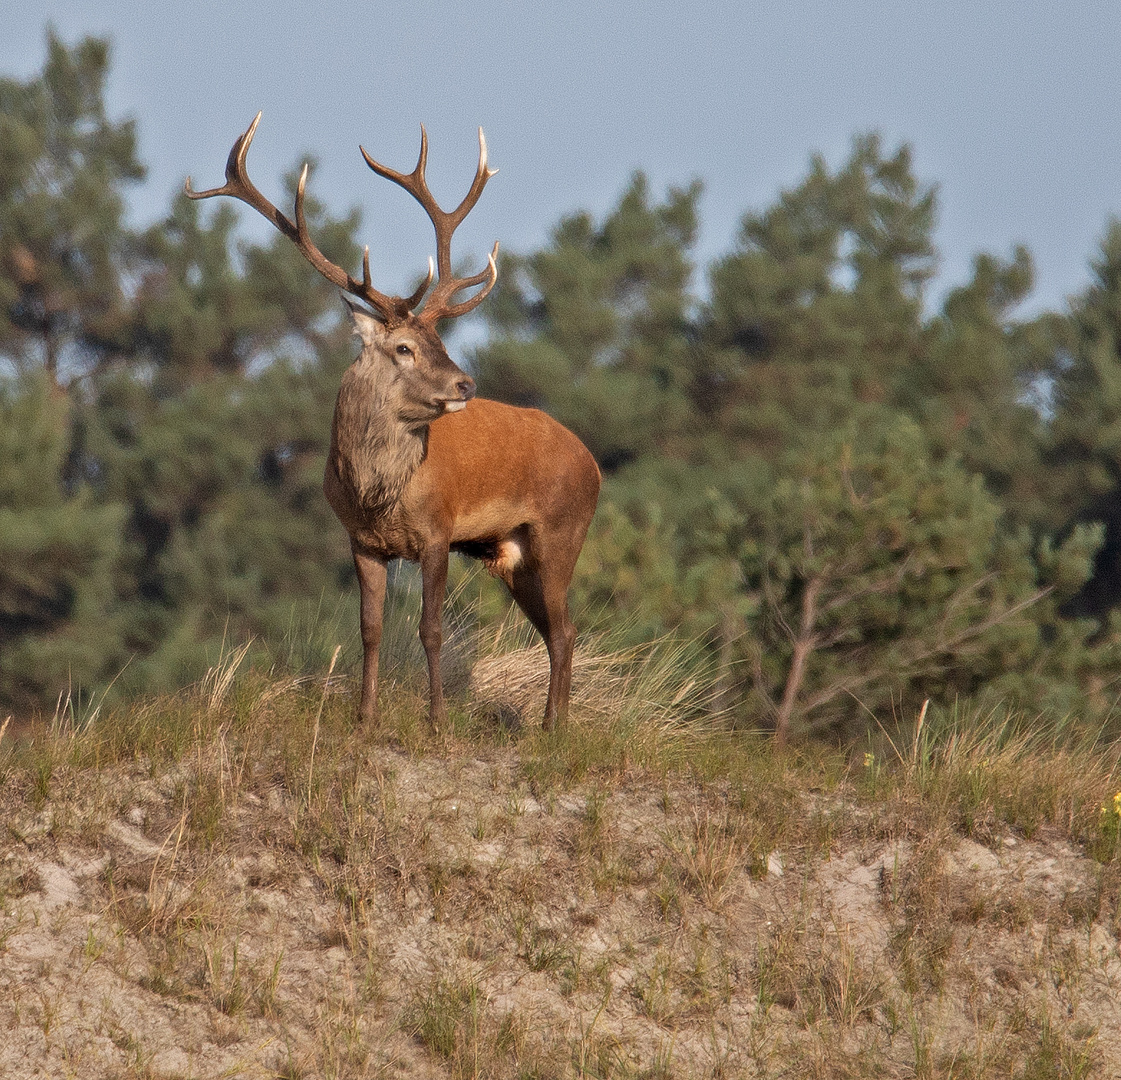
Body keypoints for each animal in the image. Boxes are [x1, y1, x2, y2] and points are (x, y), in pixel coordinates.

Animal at [187, 113, 600, 731]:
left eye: (440, 341)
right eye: (404, 347)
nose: (465, 384)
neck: (377, 493)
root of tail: (593, 464)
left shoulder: (438, 531)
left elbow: (431, 631)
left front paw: (436, 721)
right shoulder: (360, 541)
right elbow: (370, 629)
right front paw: (364, 717)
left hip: (561, 530)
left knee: (567, 628)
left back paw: (555, 728)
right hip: (514, 554)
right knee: (556, 630)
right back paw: (551, 723)